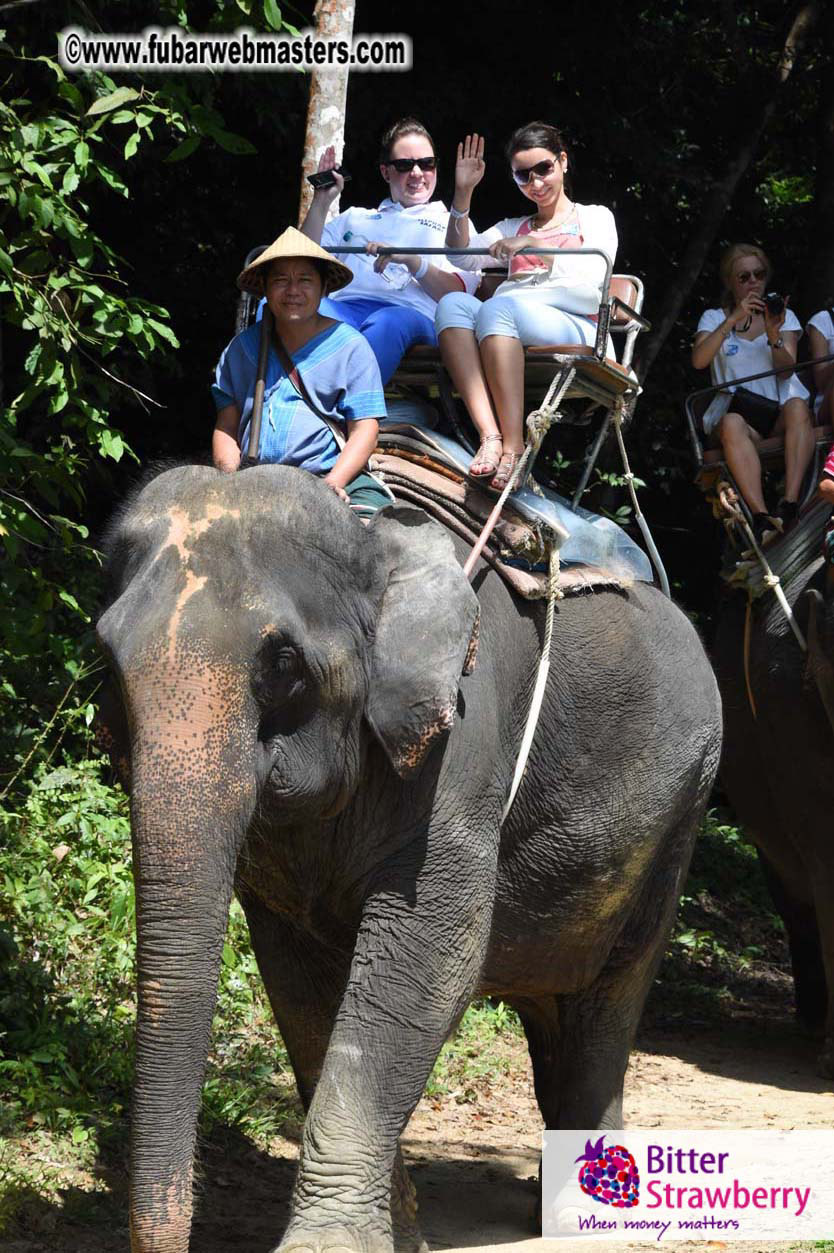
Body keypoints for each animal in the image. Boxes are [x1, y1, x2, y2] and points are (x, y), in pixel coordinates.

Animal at [96, 462, 722, 1253]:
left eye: (283, 663)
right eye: (107, 657)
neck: (372, 542)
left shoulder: (461, 744)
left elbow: (431, 958)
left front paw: (327, 1247)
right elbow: (300, 987)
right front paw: (397, 1238)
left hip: (682, 812)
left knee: (606, 1004)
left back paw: (586, 1214)